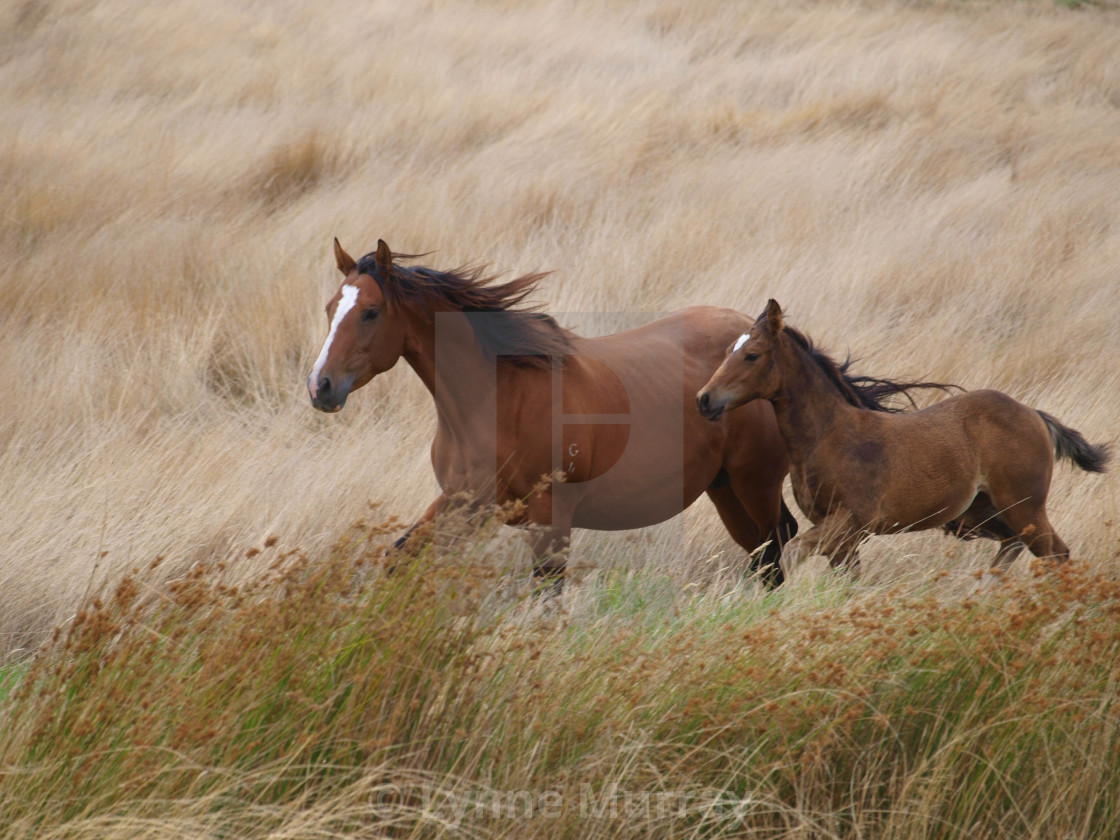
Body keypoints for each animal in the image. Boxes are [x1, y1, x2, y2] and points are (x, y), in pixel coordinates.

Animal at [304, 239, 797, 586]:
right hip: (724, 488)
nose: (320, 387)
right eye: (328, 308)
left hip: (754, 483)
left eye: (371, 312)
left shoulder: (549, 519)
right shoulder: (465, 504)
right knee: (764, 552)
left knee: (774, 550)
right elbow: (399, 556)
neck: (495, 401)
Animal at [694, 300, 1106, 582]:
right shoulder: (844, 539)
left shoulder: (850, 522)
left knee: (1055, 556)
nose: (704, 399)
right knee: (1019, 548)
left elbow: (791, 553)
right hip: (982, 515)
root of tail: (1033, 414)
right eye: (728, 350)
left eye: (751, 355)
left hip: (1024, 507)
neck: (828, 436)